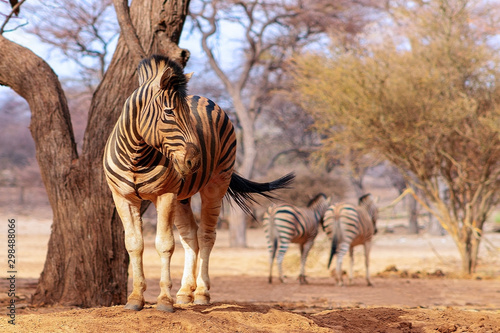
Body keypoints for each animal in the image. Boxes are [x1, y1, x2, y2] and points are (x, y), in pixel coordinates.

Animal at [103, 54, 294, 312]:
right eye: (169, 112)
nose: (194, 161)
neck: (136, 156)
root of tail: (204, 98)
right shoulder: (122, 196)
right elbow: (134, 243)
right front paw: (135, 299)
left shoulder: (165, 194)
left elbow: (164, 244)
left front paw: (164, 300)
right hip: (182, 196)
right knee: (190, 236)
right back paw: (185, 293)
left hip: (215, 185)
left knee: (206, 235)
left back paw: (202, 293)